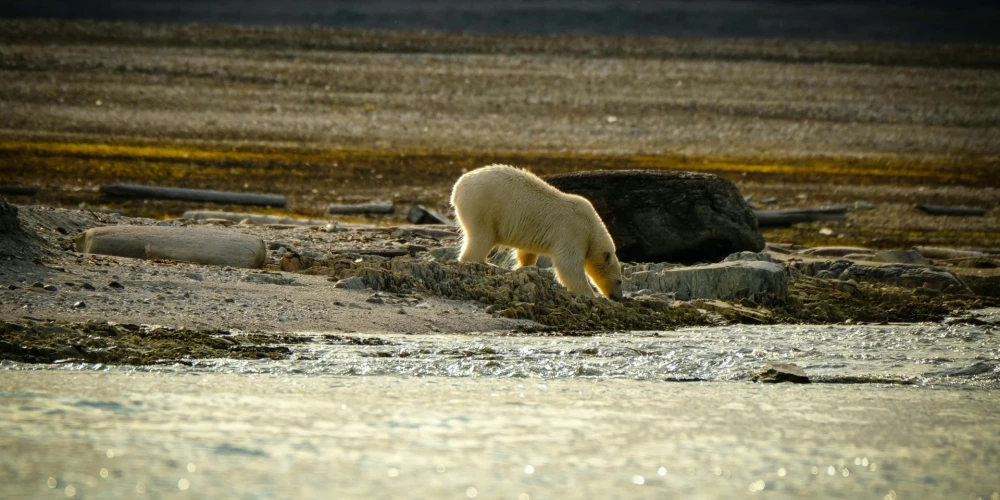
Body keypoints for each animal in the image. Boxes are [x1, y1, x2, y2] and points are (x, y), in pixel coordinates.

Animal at [450, 164, 620, 298]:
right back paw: (484, 262)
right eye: (619, 281)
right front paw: (590, 294)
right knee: (482, 236)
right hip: (482, 207)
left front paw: (522, 267)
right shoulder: (573, 231)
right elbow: (568, 265)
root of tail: (457, 187)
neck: (592, 227)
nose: (618, 297)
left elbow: (526, 252)